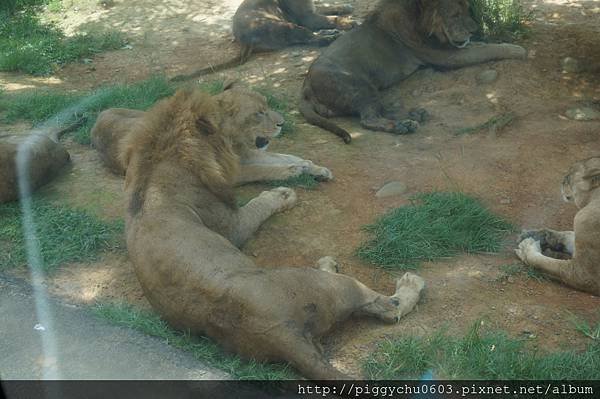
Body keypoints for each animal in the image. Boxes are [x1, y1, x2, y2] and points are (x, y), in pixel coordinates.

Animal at [91, 85, 332, 185]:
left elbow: (288, 157)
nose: (282, 123)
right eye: (258, 113)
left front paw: (315, 168)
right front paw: (292, 171)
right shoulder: (228, 172)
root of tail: (99, 117)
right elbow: (261, 170)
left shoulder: (245, 154)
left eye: (267, 106)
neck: (231, 140)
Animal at [118, 86, 426, 380]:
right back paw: (404, 281)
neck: (157, 163)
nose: (282, 123)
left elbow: (288, 158)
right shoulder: (233, 224)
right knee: (389, 308)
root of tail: (280, 335)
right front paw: (284, 193)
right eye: (258, 113)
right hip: (332, 286)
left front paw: (312, 169)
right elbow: (260, 201)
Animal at [171, 0, 354, 81]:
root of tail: (245, 40)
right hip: (286, 25)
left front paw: (346, 7)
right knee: (312, 38)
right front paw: (348, 22)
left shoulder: (311, 11)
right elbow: (332, 18)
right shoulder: (308, 17)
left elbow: (330, 8)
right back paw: (333, 36)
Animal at [300, 0, 524, 143]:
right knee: (368, 118)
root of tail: (305, 86)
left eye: (467, 10)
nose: (474, 29)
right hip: (358, 86)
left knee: (382, 109)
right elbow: (487, 49)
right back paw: (402, 126)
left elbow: (479, 46)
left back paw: (415, 115)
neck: (418, 20)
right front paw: (517, 49)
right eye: (455, 15)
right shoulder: (446, 57)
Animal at [516, 158, 600, 298]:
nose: (561, 181)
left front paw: (526, 249)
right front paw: (535, 234)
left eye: (568, 176)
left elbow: (545, 263)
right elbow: (568, 235)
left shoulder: (585, 275)